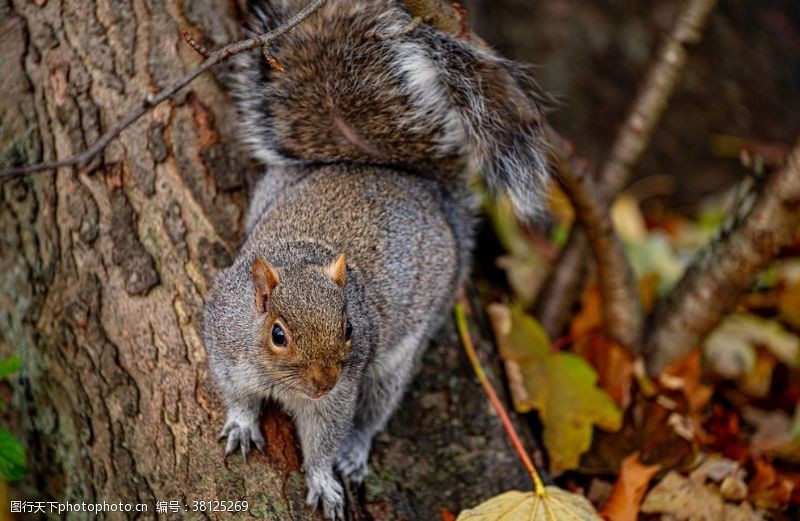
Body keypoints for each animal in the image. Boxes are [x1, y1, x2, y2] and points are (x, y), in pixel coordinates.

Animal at [202, 2, 552, 516]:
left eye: (349, 328)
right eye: (278, 335)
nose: (324, 381)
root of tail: (418, 187)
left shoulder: (340, 394)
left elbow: (325, 438)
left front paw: (324, 479)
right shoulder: (224, 344)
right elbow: (236, 394)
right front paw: (243, 423)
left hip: (403, 350)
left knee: (375, 410)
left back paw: (356, 449)